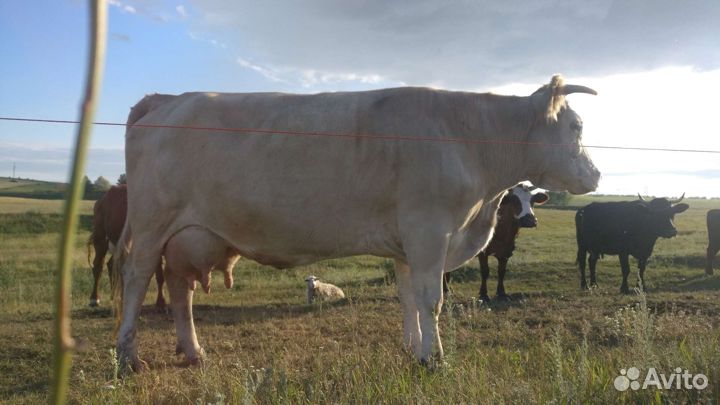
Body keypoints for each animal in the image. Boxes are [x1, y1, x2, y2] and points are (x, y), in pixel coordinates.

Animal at [114, 75, 600, 371]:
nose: (595, 175)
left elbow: (408, 299)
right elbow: (431, 300)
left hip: (188, 235)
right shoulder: (429, 232)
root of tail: (169, 98)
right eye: (576, 126)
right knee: (136, 280)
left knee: (181, 289)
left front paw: (413, 350)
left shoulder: (408, 243)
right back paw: (127, 357)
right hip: (152, 225)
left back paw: (193, 352)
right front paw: (434, 358)